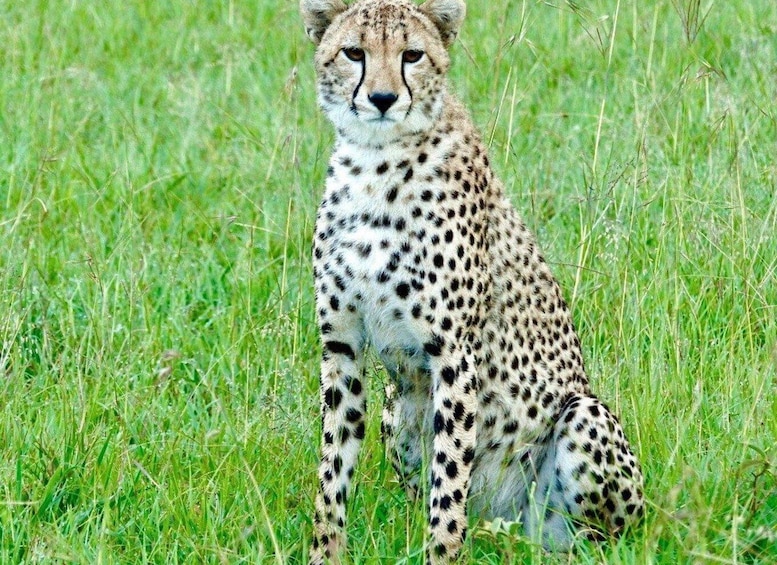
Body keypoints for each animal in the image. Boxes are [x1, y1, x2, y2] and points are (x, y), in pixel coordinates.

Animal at [299, 0, 644, 562]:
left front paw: (441, 553)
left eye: (412, 55)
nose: (382, 98)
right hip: (398, 411)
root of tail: (508, 523)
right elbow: (333, 471)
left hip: (583, 417)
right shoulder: (342, 346)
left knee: (594, 538)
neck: (375, 160)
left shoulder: (453, 354)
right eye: (354, 52)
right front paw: (325, 552)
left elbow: (449, 478)